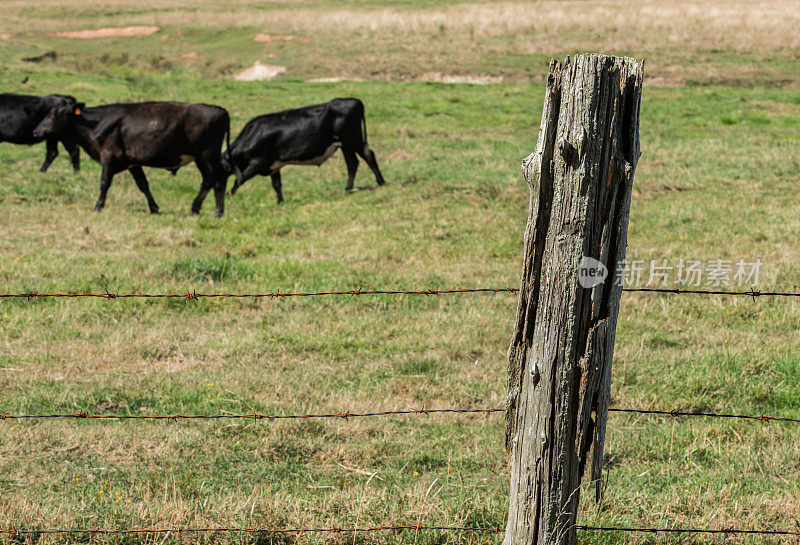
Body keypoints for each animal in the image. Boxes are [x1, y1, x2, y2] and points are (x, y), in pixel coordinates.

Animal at [32, 101, 230, 216]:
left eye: (51, 115)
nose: (36, 131)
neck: (96, 123)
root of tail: (219, 109)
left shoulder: (109, 156)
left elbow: (104, 183)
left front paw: (97, 207)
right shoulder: (133, 162)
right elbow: (143, 185)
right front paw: (154, 208)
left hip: (208, 155)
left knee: (218, 180)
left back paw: (218, 212)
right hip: (200, 158)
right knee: (207, 181)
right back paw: (195, 208)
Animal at [223, 96, 386, 203]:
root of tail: (354, 100)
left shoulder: (257, 163)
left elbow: (240, 179)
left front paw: (228, 196)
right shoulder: (274, 166)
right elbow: (276, 185)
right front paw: (280, 202)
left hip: (347, 141)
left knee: (353, 163)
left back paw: (347, 190)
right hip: (354, 140)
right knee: (367, 155)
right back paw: (381, 182)